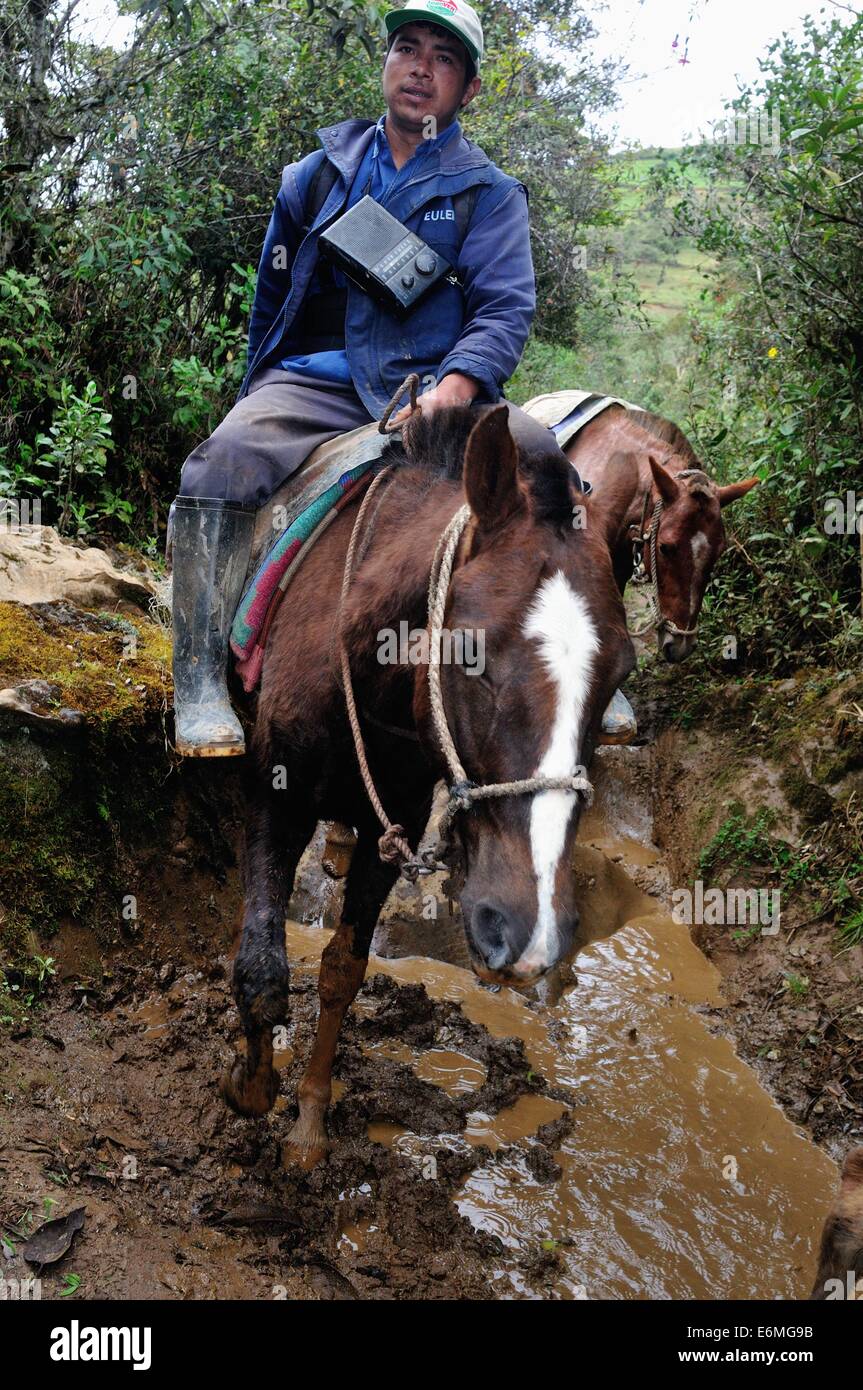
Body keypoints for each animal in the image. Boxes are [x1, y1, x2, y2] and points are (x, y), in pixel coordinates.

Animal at [220, 403, 633, 1162]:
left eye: (622, 670)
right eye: (470, 654)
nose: (528, 933)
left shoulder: (401, 822)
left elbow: (342, 971)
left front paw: (310, 1120)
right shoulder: (273, 796)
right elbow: (262, 970)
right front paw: (250, 1086)